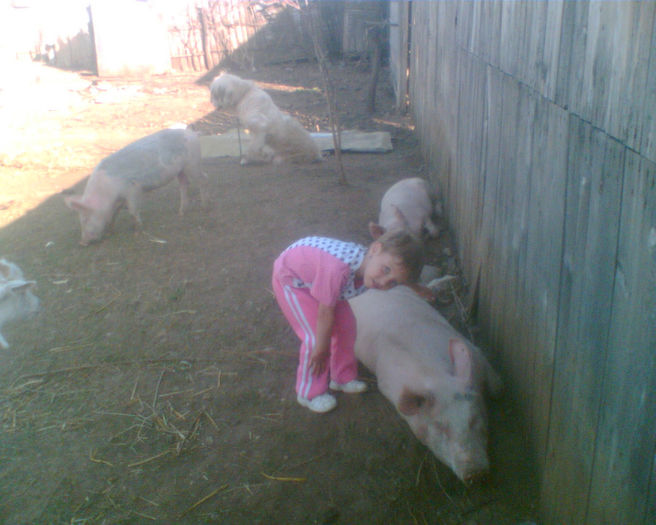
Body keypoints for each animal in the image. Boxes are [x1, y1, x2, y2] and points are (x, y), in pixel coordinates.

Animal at [65, 128, 206, 245]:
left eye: (85, 219)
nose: (82, 243)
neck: (105, 192)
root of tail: (192, 133)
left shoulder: (133, 189)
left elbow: (133, 211)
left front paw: (137, 233)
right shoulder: (119, 200)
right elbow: (115, 214)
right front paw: (111, 231)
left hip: (192, 163)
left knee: (202, 179)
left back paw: (204, 204)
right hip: (181, 170)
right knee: (184, 184)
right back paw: (181, 213)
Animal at [349, 285, 503, 483]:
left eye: (474, 418)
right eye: (440, 426)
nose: (475, 473)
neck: (435, 376)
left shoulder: (474, 351)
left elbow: (499, 387)